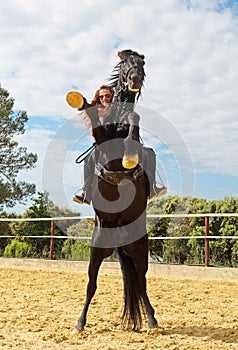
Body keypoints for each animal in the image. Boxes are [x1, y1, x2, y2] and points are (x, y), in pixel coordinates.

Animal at [69, 49, 158, 330]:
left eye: (142, 64)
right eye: (126, 63)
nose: (135, 79)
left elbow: (134, 120)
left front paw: (130, 154)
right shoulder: (104, 141)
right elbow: (98, 126)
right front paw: (82, 103)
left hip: (140, 250)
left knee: (140, 282)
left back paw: (151, 319)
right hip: (97, 249)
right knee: (92, 283)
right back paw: (80, 322)